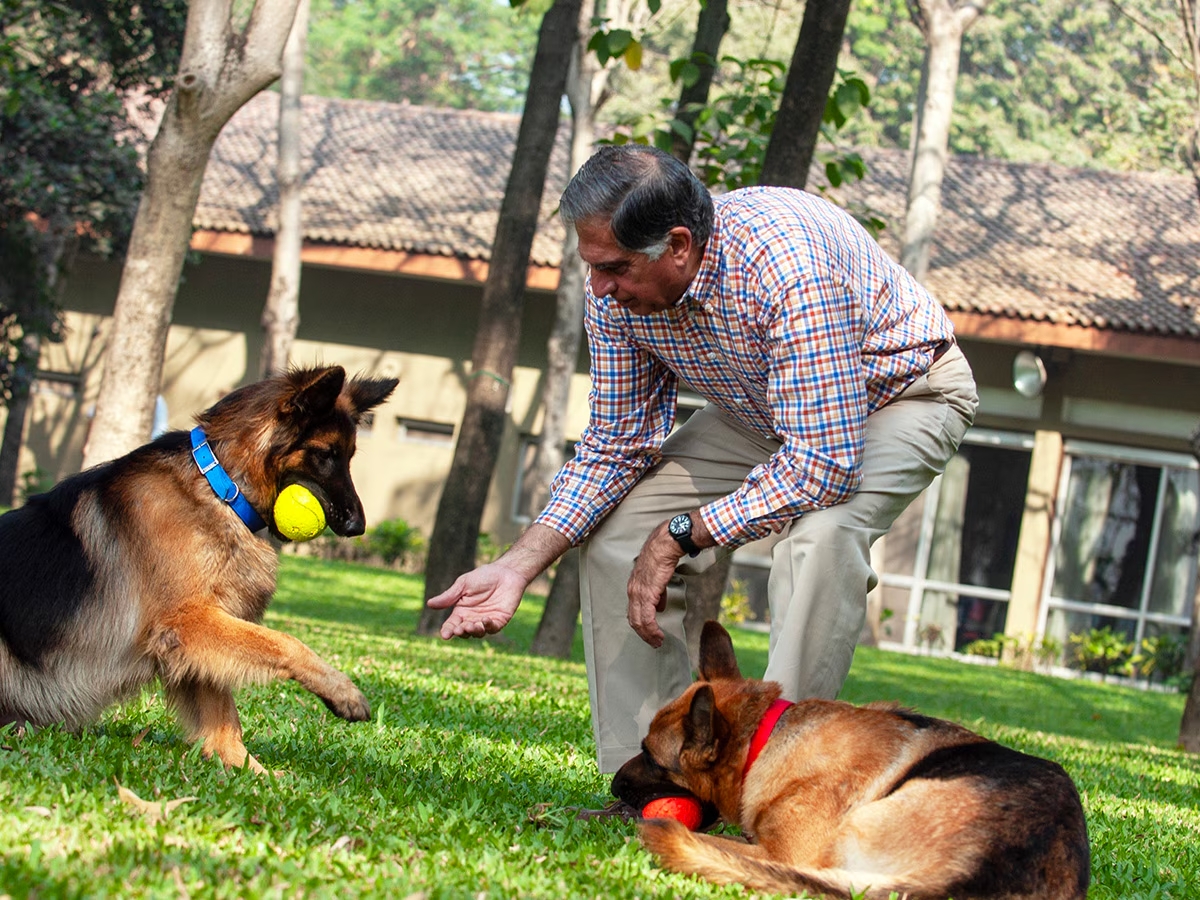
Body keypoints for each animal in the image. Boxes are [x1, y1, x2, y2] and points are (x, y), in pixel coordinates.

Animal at [0, 367, 398, 777]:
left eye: (348, 456)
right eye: (325, 455)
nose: (358, 527)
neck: (220, 486)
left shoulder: (199, 635)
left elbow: (223, 714)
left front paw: (248, 769)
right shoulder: (188, 621)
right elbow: (284, 642)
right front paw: (343, 691)